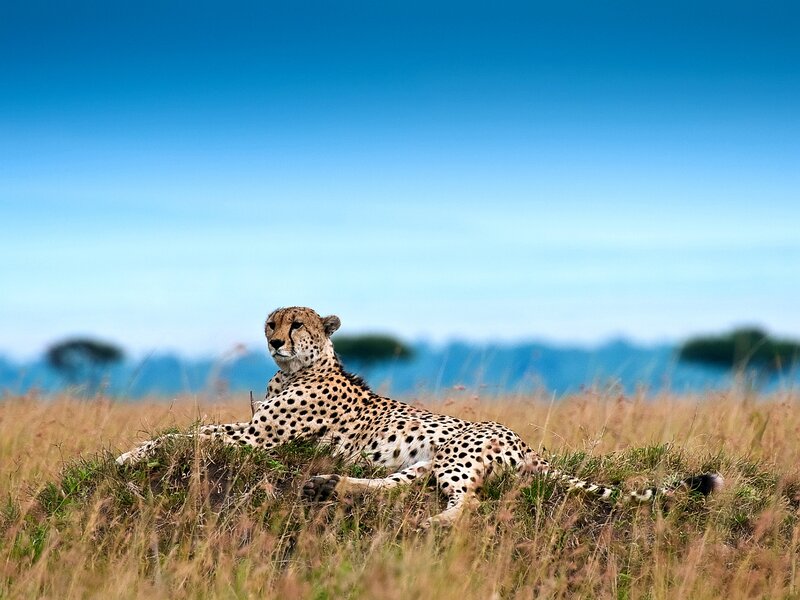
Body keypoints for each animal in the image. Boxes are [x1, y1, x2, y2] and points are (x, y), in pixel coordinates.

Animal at [116, 306, 723, 528]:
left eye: (296, 324)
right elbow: (193, 430)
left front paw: (130, 453)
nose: (272, 341)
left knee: (467, 503)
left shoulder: (259, 437)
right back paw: (330, 485)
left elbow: (190, 432)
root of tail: (526, 444)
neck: (296, 370)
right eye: (271, 321)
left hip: (454, 454)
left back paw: (428, 523)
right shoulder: (254, 431)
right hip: (425, 461)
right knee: (398, 486)